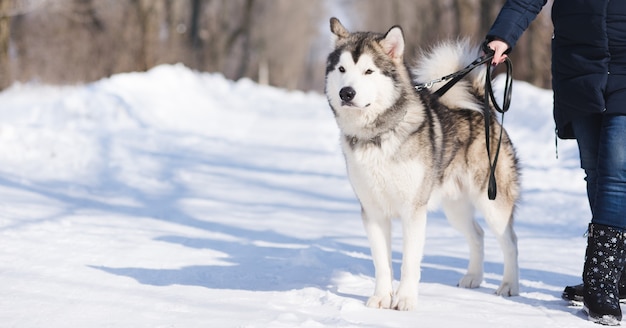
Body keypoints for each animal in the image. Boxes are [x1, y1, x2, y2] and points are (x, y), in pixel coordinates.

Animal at [324, 18, 520, 310]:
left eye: (369, 71)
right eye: (342, 69)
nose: (346, 93)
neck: (379, 136)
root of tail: (482, 109)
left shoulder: (413, 211)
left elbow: (409, 262)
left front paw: (404, 300)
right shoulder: (372, 211)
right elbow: (382, 263)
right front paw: (381, 298)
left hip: (492, 201)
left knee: (510, 240)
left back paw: (509, 285)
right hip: (455, 207)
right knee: (477, 234)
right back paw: (473, 277)